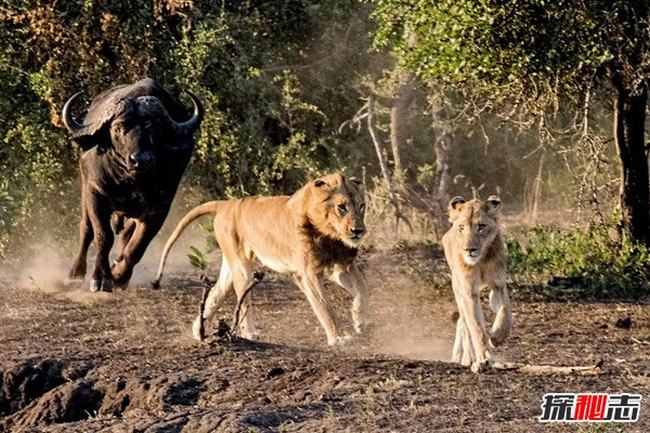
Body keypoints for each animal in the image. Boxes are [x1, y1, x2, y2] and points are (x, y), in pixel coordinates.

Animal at [61, 79, 202, 292]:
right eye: (118, 128)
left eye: (155, 128)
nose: (141, 160)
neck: (130, 180)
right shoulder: (95, 193)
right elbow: (103, 236)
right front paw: (101, 278)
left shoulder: (159, 208)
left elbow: (137, 247)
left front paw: (119, 276)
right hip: (85, 191)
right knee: (86, 230)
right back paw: (75, 272)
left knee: (125, 235)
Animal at [150, 172, 368, 344]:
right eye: (342, 207)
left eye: (362, 206)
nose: (358, 231)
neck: (331, 235)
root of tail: (227, 204)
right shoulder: (308, 273)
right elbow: (325, 307)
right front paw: (339, 338)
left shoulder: (341, 266)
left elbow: (363, 289)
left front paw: (360, 319)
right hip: (241, 267)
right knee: (243, 300)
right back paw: (249, 333)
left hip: (229, 266)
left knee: (215, 293)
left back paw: (198, 331)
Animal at [440, 196, 512, 372]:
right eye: (461, 227)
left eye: (481, 226)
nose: (469, 249)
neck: (481, 261)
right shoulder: (468, 292)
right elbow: (477, 328)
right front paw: (483, 360)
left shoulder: (499, 286)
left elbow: (506, 314)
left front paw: (496, 337)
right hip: (457, 288)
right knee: (464, 324)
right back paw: (466, 358)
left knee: (461, 321)